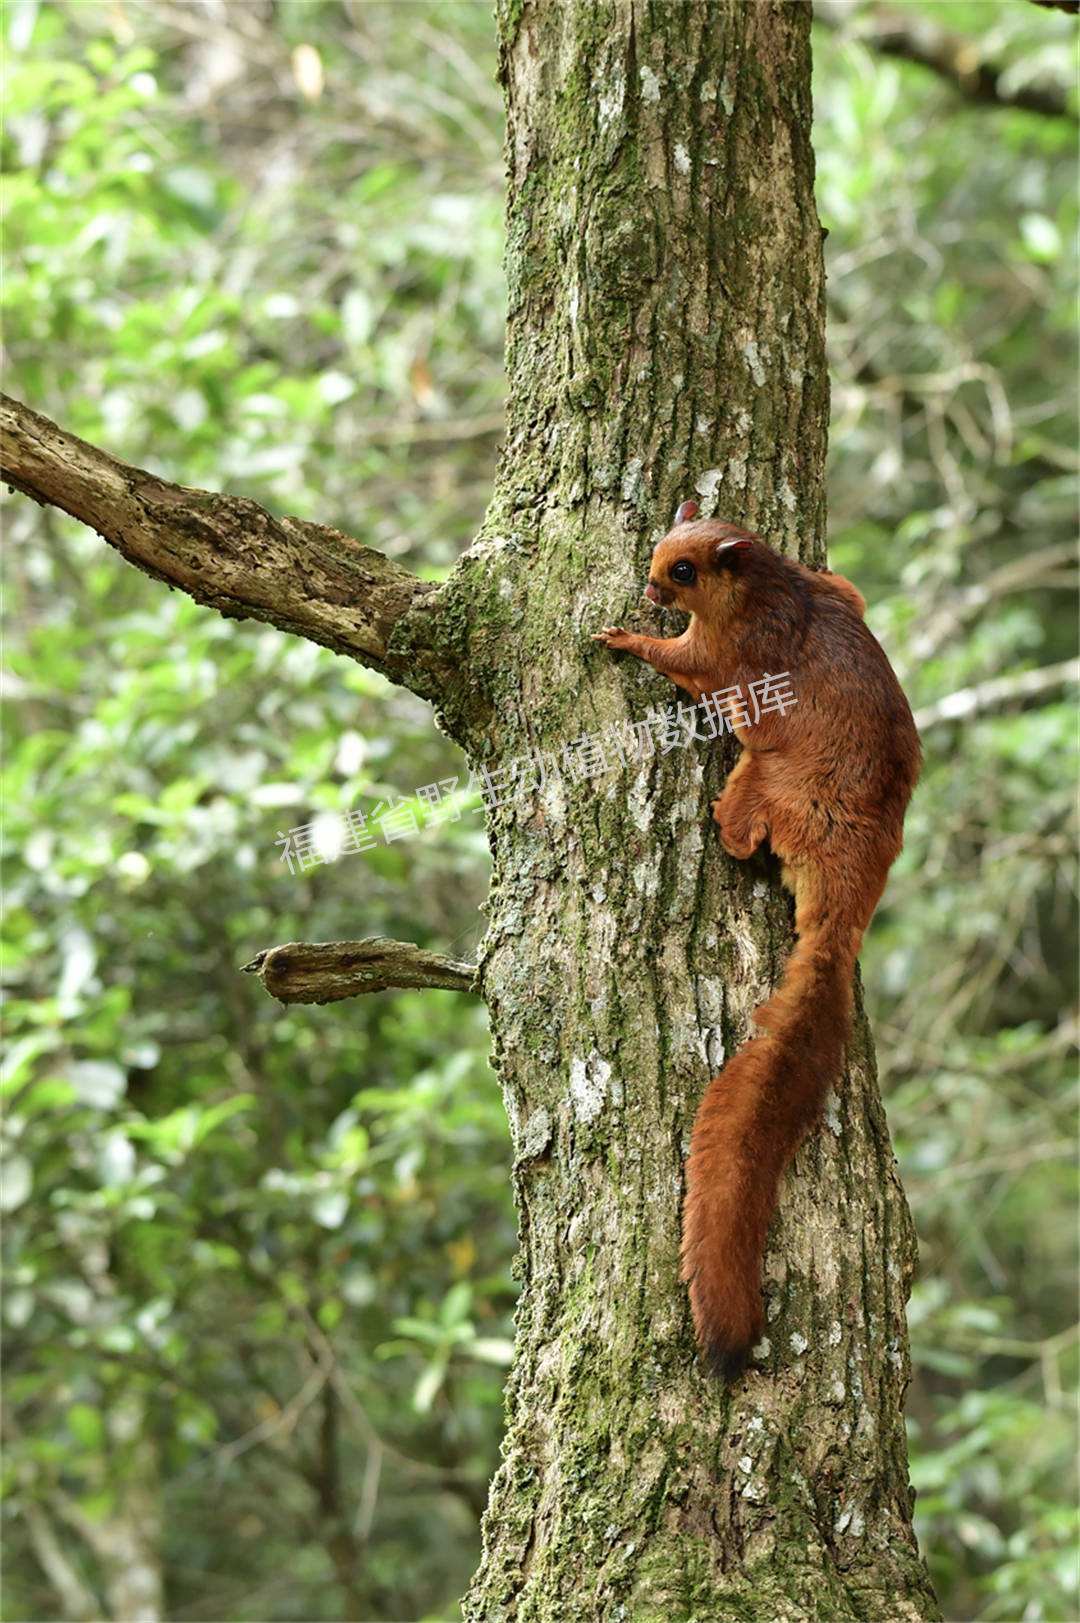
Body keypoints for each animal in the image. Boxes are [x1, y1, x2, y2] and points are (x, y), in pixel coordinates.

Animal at [591, 499, 915, 1376]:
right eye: (661, 549)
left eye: (682, 571)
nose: (646, 587)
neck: (771, 584)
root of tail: (846, 905)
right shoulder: (834, 588)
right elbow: (853, 589)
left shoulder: (730, 652)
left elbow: (686, 661)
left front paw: (623, 637)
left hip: (766, 780)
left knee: (746, 829)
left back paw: (721, 829)